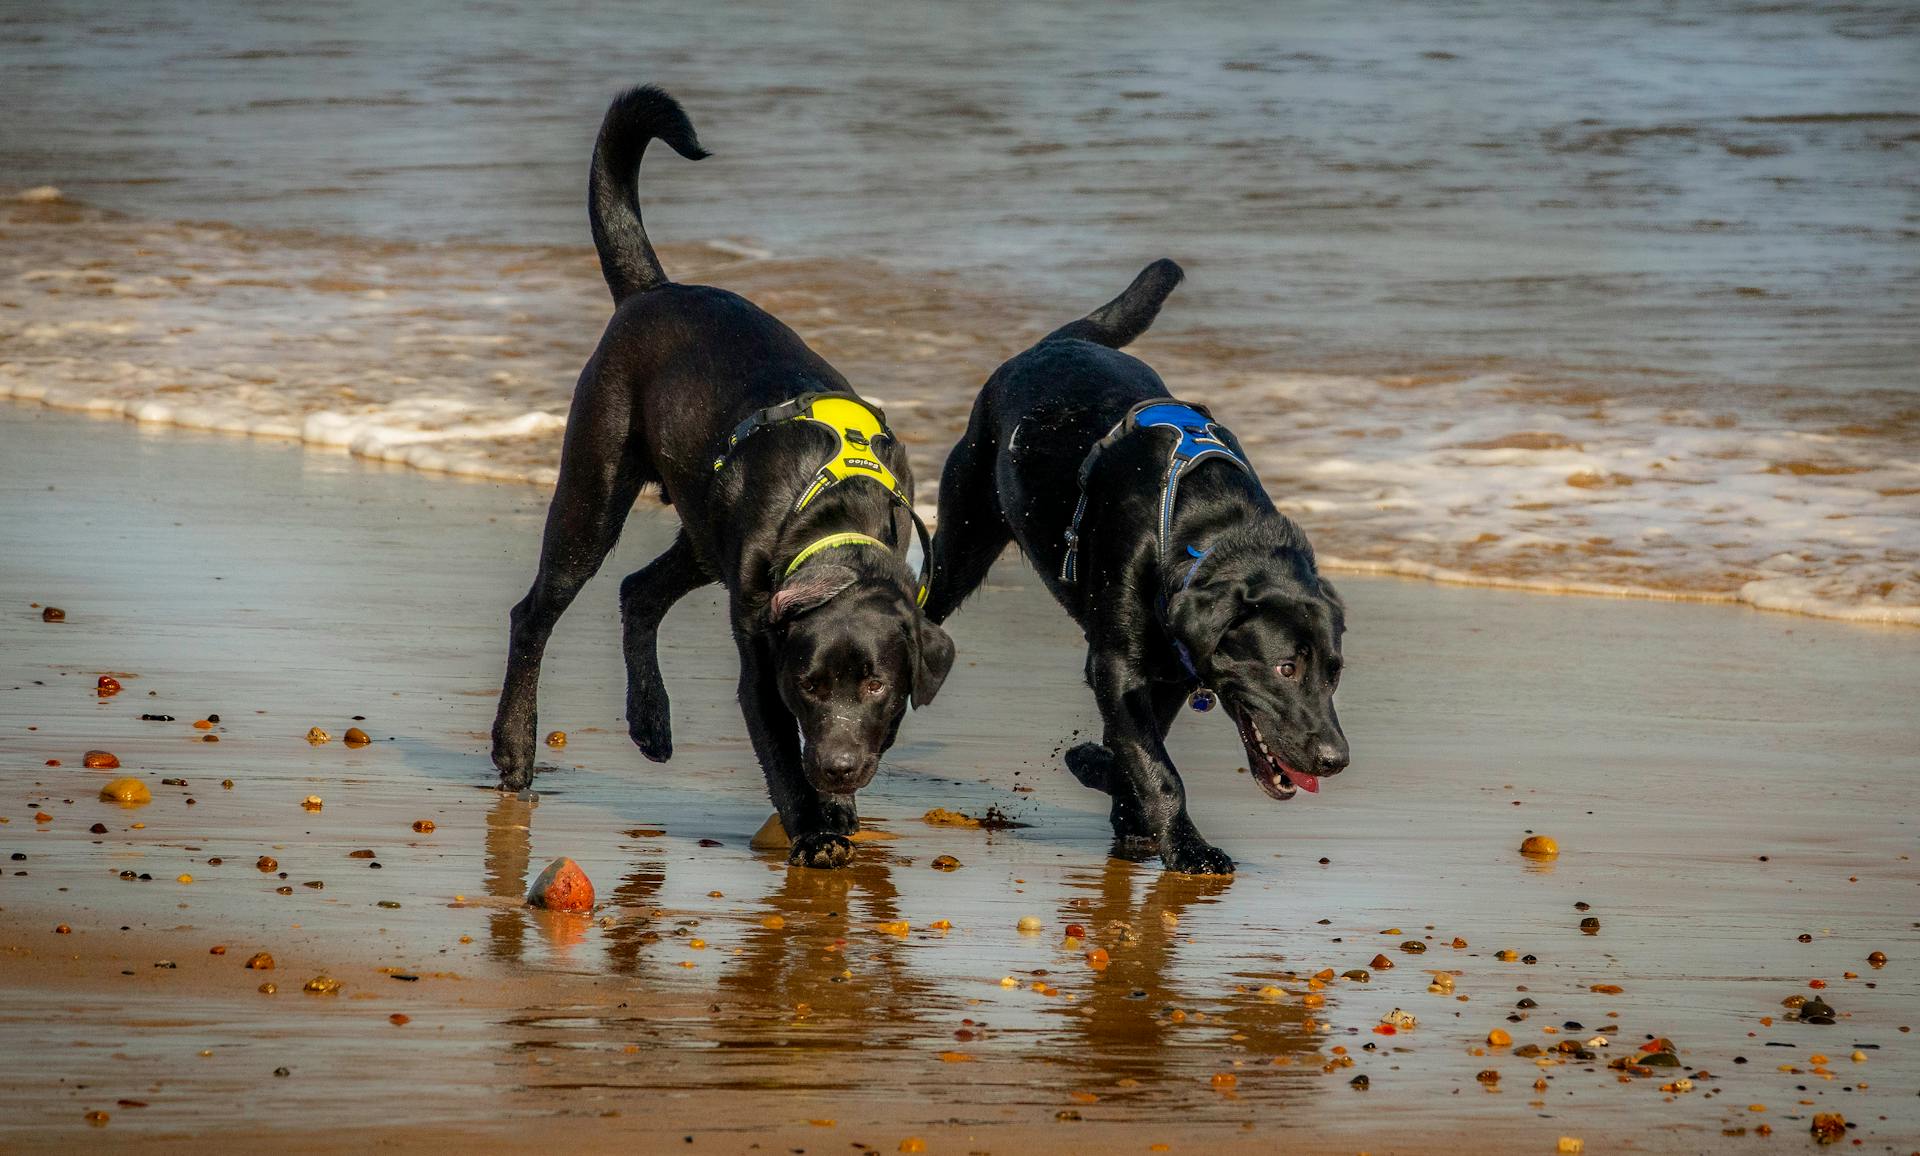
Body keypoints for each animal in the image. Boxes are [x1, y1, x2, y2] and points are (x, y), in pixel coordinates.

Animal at [487, 87, 952, 864]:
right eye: (809, 685)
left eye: (876, 685)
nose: (838, 767)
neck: (839, 530)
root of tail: (652, 290)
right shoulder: (761, 668)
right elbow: (780, 753)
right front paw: (814, 829)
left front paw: (838, 809)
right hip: (594, 494)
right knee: (535, 614)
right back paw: (515, 748)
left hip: (705, 536)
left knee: (639, 592)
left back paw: (651, 720)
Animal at [917, 259, 1344, 871]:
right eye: (1286, 669)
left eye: (1335, 673)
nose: (1336, 759)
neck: (1207, 533)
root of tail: (1053, 343)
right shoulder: (1116, 664)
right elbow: (1155, 766)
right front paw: (1188, 848)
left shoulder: (1170, 669)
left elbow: (1136, 753)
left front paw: (1121, 802)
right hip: (960, 544)